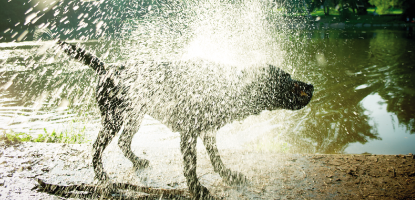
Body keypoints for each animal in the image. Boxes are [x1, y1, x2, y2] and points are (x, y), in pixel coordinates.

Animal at [57, 40, 314, 198]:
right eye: (286, 78)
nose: (310, 85)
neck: (227, 86)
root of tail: (106, 68)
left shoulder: (208, 131)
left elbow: (217, 160)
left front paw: (229, 175)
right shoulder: (189, 134)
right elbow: (191, 168)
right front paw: (197, 190)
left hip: (134, 116)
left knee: (123, 142)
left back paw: (137, 161)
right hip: (113, 119)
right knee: (96, 149)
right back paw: (103, 177)